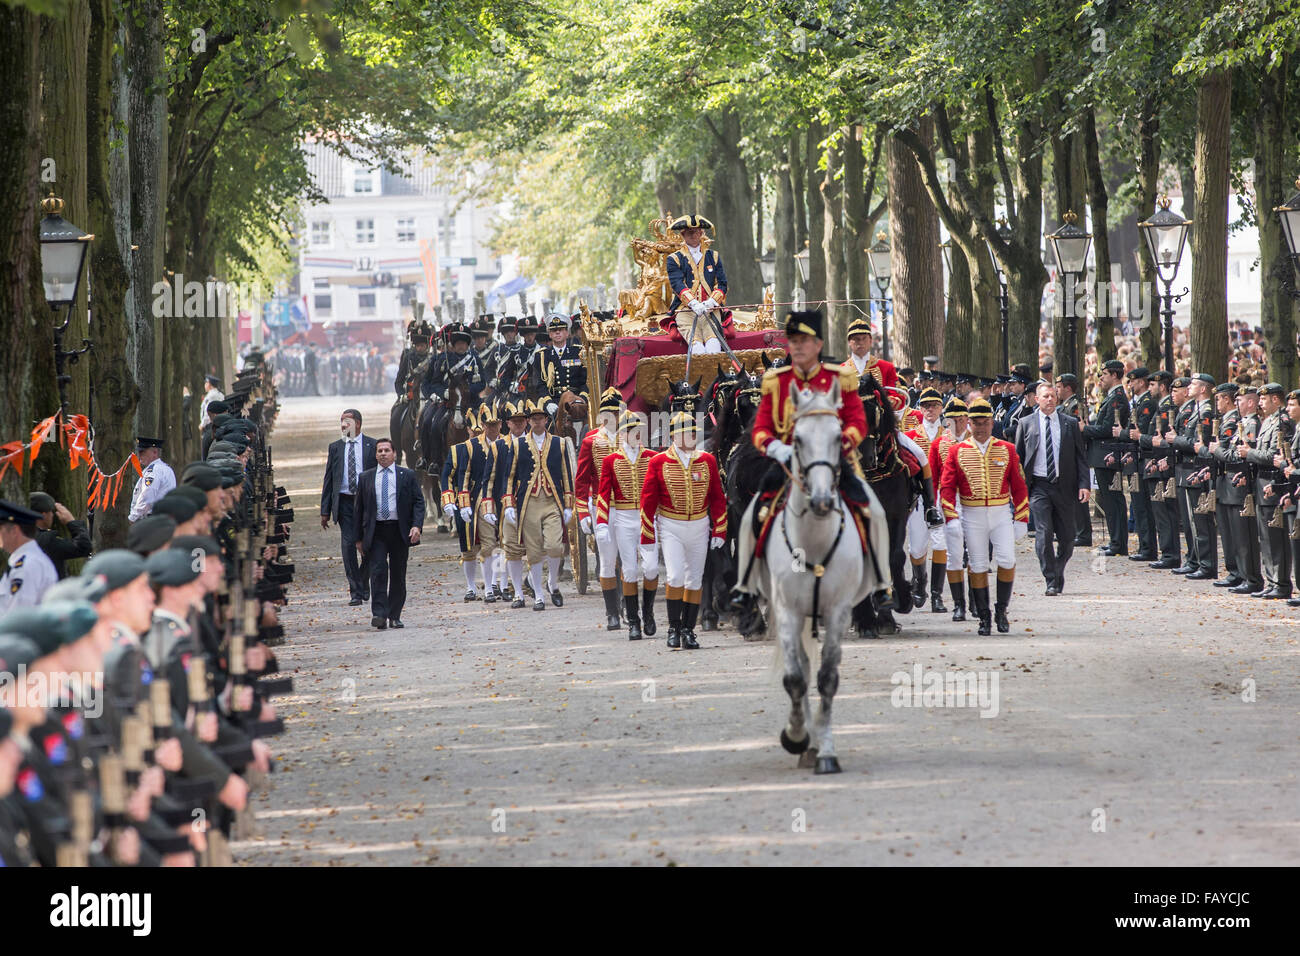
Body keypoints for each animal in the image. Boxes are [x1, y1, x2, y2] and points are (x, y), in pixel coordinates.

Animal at [759, 377, 889, 775]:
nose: (820, 501)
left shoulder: (837, 611)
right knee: (799, 666)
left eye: (837, 435)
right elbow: (795, 678)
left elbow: (827, 679)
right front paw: (796, 736)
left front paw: (826, 751)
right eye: (797, 439)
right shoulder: (786, 610)